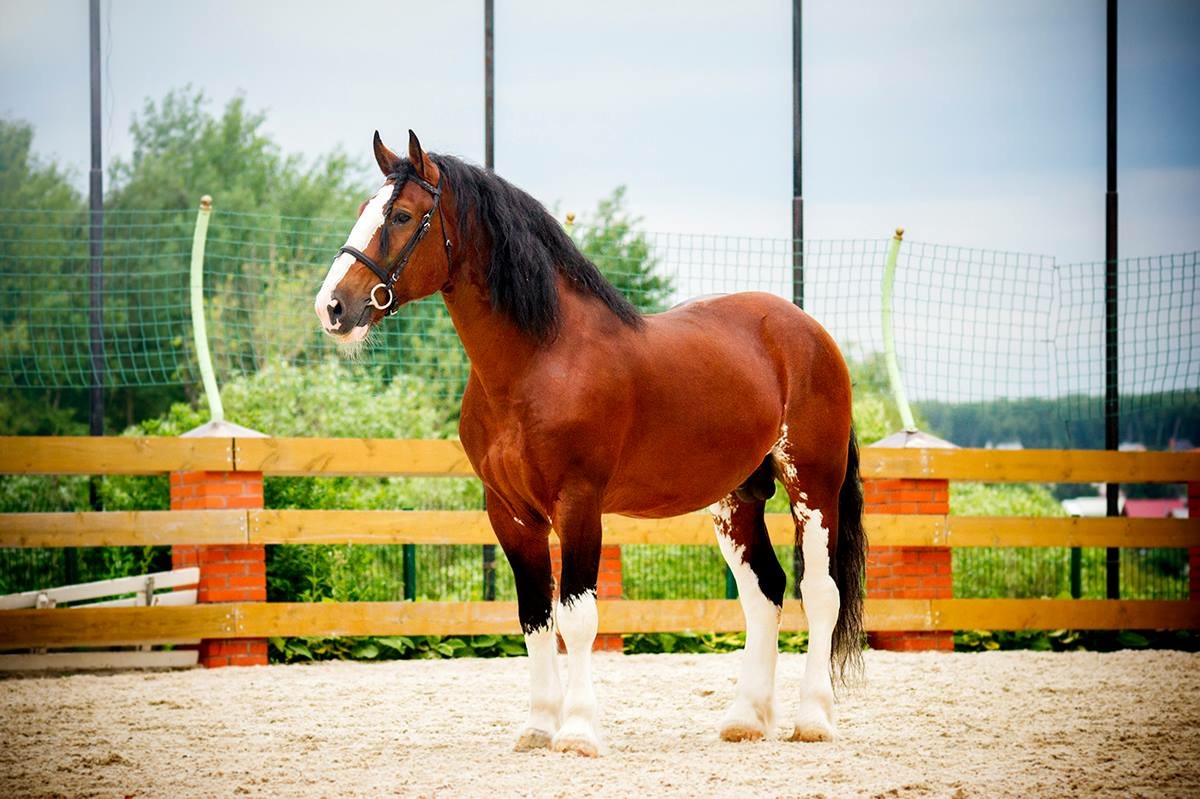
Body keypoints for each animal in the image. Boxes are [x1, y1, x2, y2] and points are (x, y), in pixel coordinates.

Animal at [314, 128, 868, 753]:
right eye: (366, 209)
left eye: (403, 215)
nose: (333, 307)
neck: (540, 360)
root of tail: (809, 331)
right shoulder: (511, 514)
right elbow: (535, 617)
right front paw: (537, 726)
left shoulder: (578, 503)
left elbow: (577, 617)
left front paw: (578, 731)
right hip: (737, 499)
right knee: (765, 592)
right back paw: (746, 718)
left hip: (813, 488)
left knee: (820, 593)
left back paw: (812, 719)